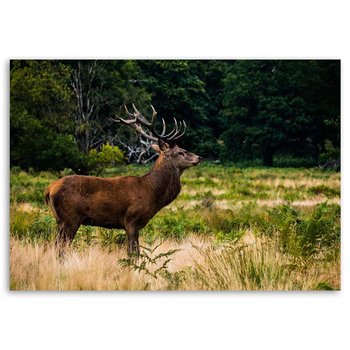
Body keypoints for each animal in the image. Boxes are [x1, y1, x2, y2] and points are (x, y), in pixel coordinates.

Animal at [44, 104, 202, 258]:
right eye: (180, 152)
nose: (199, 157)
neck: (152, 192)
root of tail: (49, 189)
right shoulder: (131, 220)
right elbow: (133, 253)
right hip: (70, 218)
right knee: (61, 248)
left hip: (60, 221)